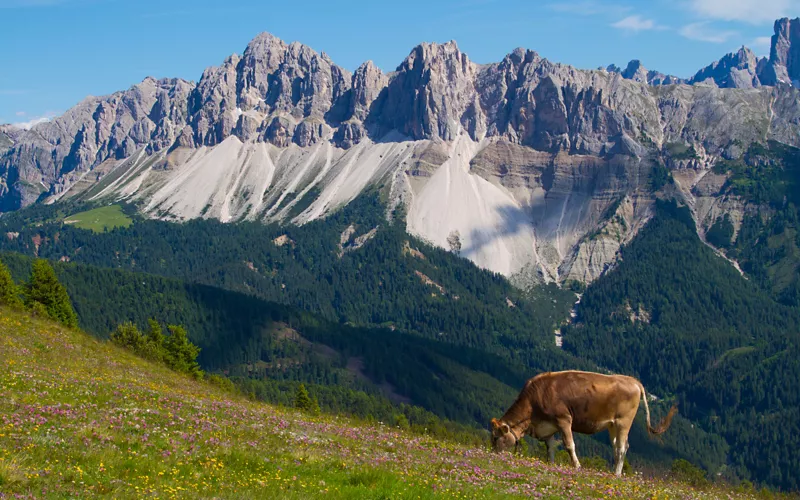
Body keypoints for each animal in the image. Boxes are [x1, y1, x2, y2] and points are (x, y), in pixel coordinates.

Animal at [488, 372, 676, 476]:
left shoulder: (564, 420)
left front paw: (577, 466)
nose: (493, 455)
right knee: (617, 447)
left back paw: (616, 474)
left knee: (622, 447)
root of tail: (633, 381)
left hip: (624, 421)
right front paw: (551, 465)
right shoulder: (548, 426)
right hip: (612, 424)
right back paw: (614, 472)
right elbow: (550, 448)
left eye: (496, 438)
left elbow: (569, 445)